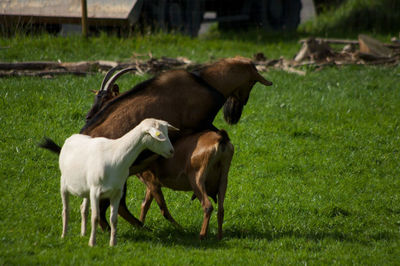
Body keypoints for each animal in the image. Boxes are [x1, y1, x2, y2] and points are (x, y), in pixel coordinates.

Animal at [80, 56, 276, 231]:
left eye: (104, 99)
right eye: (251, 82)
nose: (236, 110)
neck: (206, 81)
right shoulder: (201, 123)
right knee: (112, 205)